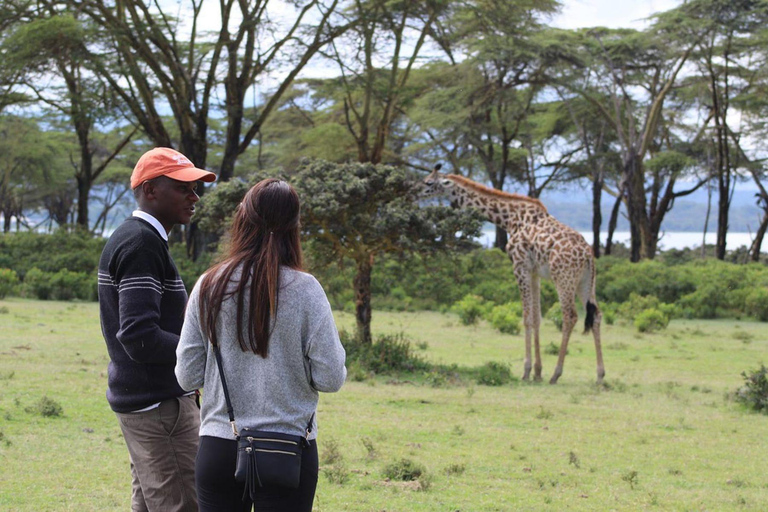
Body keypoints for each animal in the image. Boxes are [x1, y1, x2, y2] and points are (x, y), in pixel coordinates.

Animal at [420, 165, 608, 384]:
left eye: (429, 182)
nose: (415, 191)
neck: (509, 218)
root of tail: (588, 255)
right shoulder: (534, 272)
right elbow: (536, 318)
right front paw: (537, 372)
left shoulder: (519, 266)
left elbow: (526, 317)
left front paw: (526, 371)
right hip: (586, 282)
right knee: (596, 315)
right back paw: (600, 375)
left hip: (564, 278)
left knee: (570, 316)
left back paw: (556, 374)